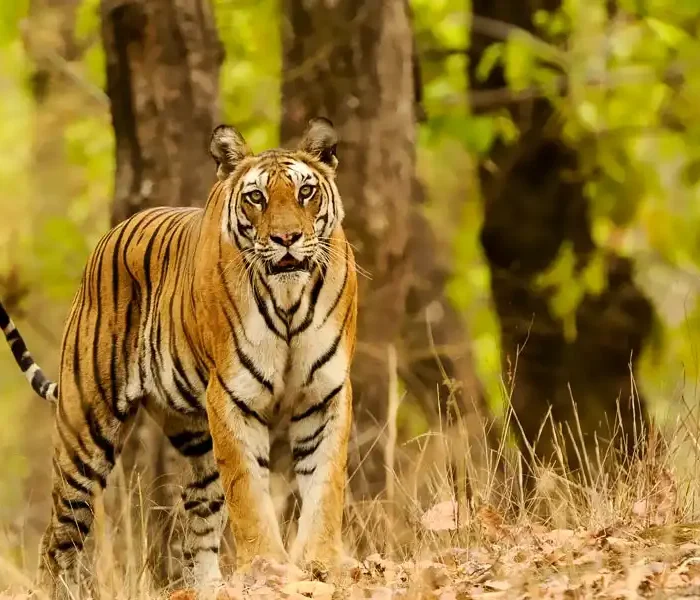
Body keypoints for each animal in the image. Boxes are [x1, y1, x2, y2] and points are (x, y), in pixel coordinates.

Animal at [0, 117, 358, 599]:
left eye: (305, 192)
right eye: (256, 197)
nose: (287, 239)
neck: (288, 299)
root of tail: (109, 237)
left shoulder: (324, 396)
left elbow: (325, 485)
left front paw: (322, 565)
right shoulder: (232, 398)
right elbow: (249, 495)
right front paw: (268, 570)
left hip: (196, 438)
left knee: (199, 524)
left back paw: (209, 587)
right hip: (85, 432)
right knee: (59, 535)